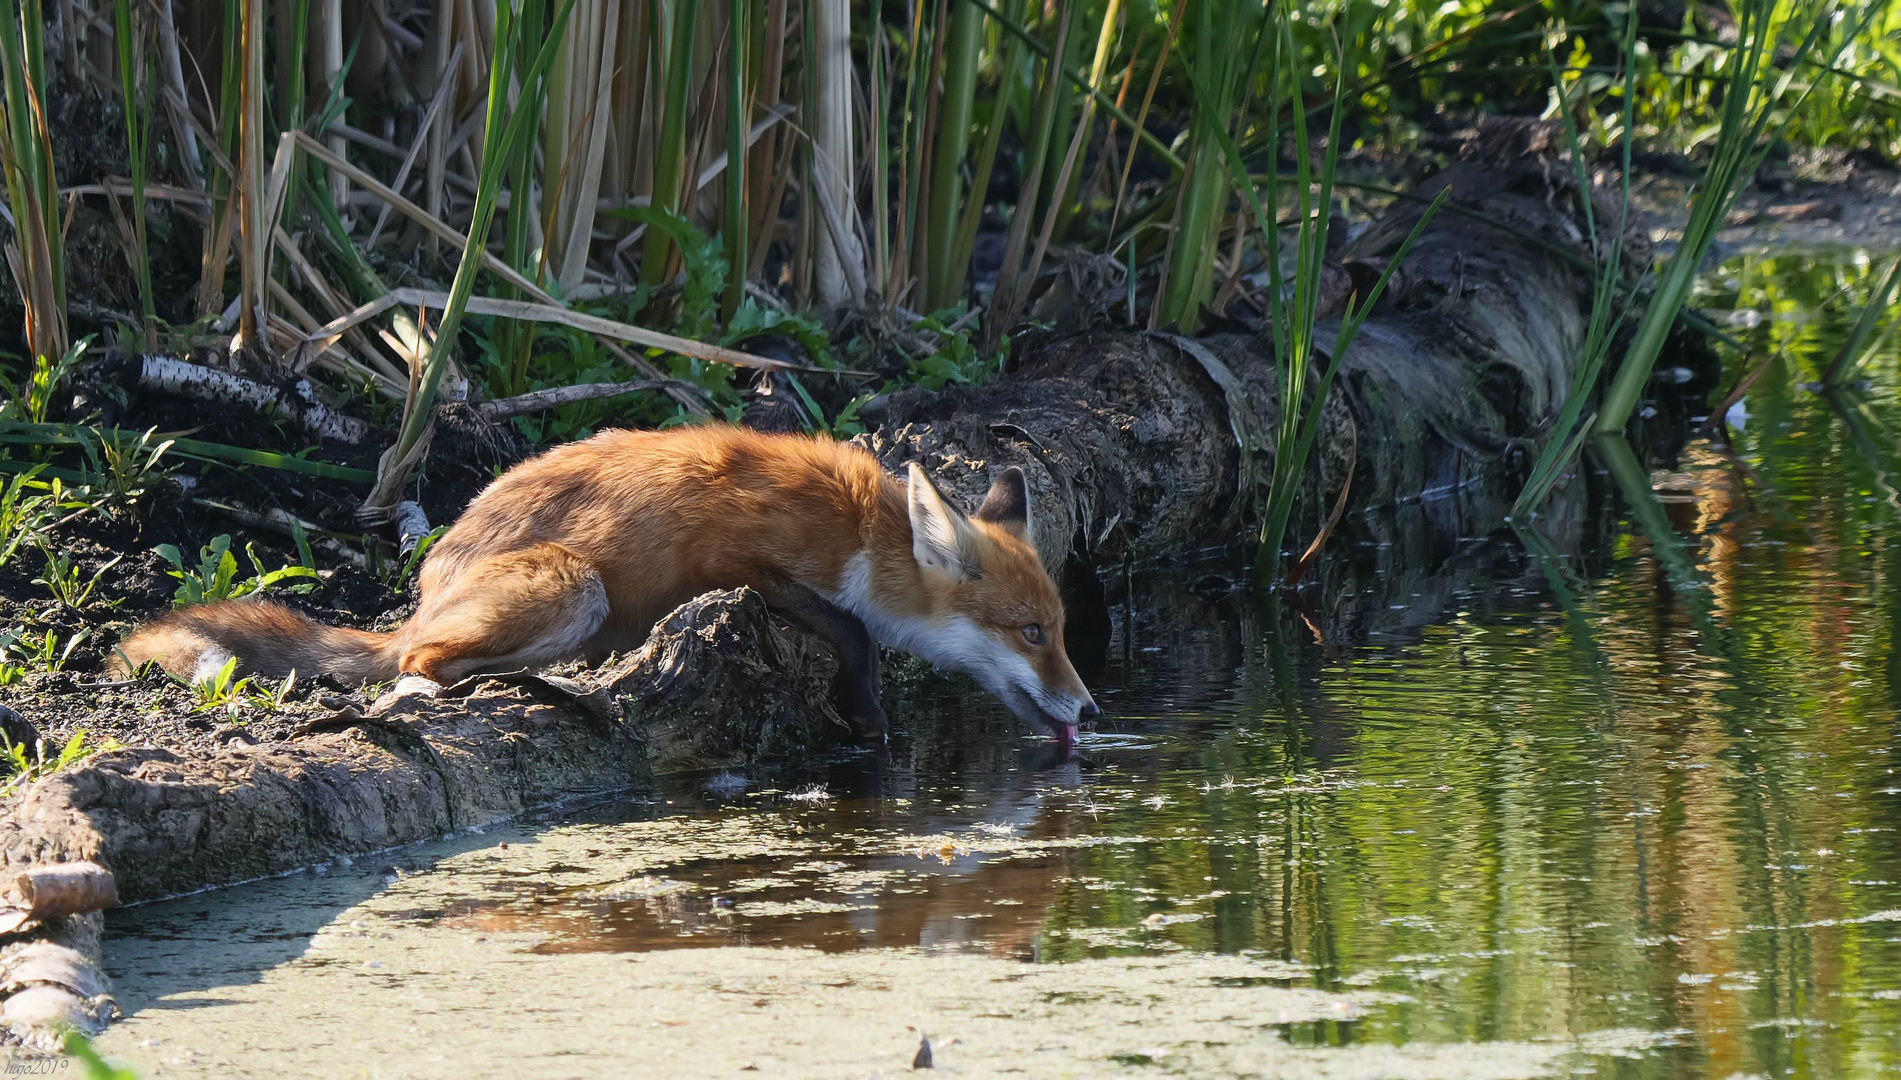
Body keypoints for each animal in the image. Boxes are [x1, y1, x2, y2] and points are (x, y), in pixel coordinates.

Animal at [115, 422, 1102, 741]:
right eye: (1031, 633)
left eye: (1061, 628)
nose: (1091, 709)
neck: (858, 532)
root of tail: (425, 582)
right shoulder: (736, 557)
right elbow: (853, 631)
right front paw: (865, 712)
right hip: (572, 583)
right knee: (422, 665)